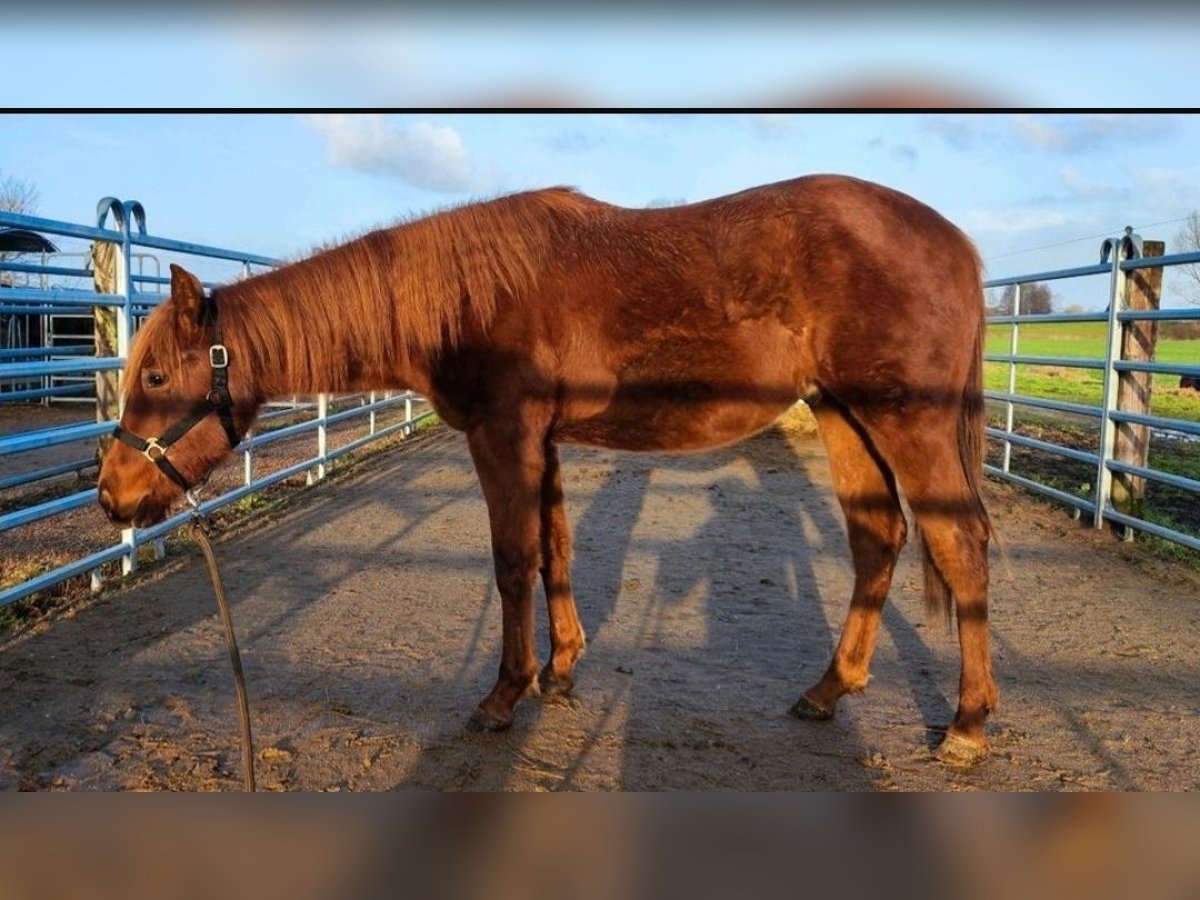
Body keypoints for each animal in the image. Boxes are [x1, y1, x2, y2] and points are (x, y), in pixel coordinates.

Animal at [98, 177, 993, 768]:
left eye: (155, 376)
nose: (112, 496)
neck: (464, 297)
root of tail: (956, 242)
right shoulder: (546, 443)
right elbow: (556, 551)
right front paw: (561, 670)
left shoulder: (505, 437)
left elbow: (512, 562)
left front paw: (504, 695)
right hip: (845, 417)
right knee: (878, 539)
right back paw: (829, 689)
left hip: (906, 421)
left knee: (959, 545)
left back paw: (968, 725)